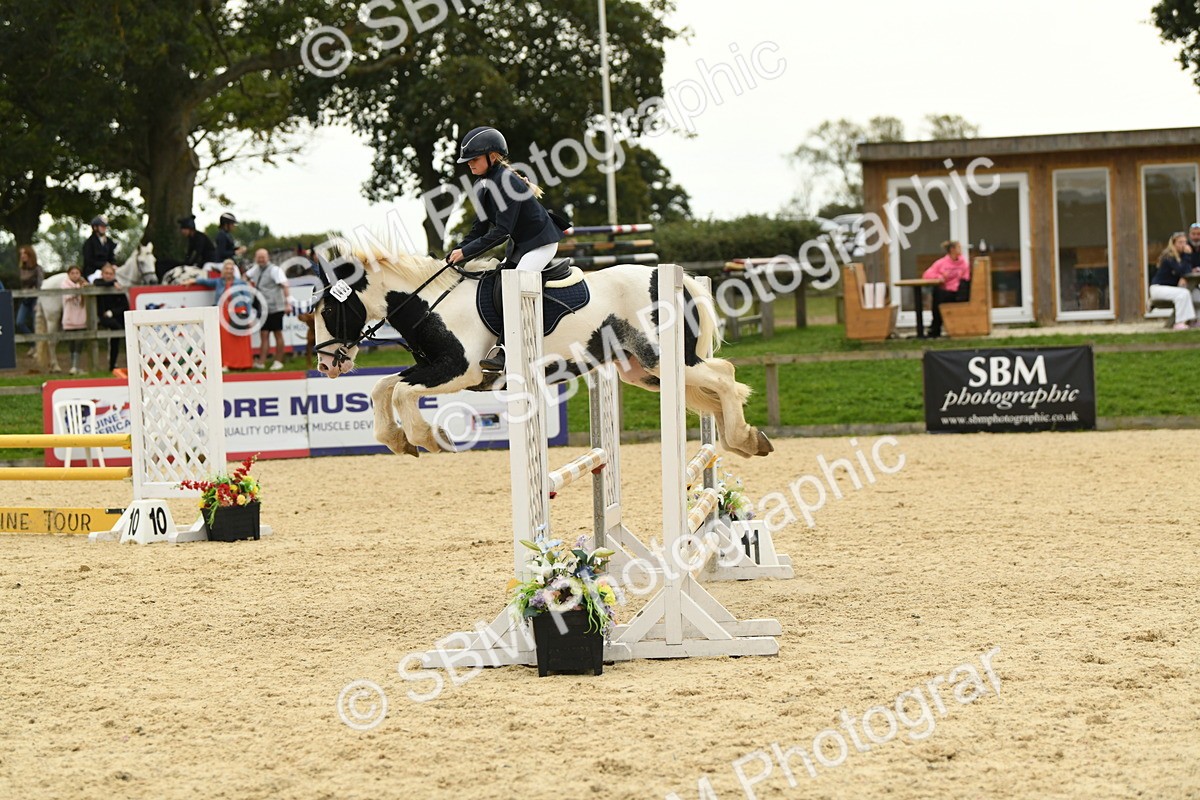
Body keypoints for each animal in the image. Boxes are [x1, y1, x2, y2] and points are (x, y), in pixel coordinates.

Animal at [310, 251, 775, 459]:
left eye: (329, 309)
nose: (326, 364)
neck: (431, 304)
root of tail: (678, 279)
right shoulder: (431, 367)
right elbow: (382, 387)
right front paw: (396, 439)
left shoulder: (458, 371)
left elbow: (403, 392)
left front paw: (427, 437)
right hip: (641, 370)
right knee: (717, 381)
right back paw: (744, 438)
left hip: (663, 359)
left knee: (724, 376)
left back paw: (742, 437)